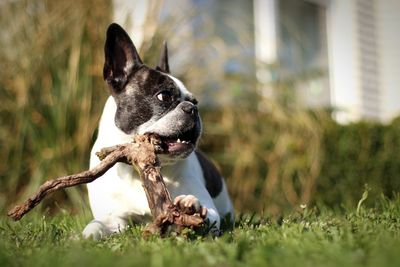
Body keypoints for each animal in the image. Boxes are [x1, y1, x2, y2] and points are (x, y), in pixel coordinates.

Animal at [83, 23, 234, 241]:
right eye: (164, 96)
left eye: (195, 101)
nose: (193, 108)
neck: (136, 170)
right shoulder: (115, 218)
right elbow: (99, 224)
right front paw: (85, 235)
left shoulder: (211, 213)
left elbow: (203, 215)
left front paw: (190, 206)